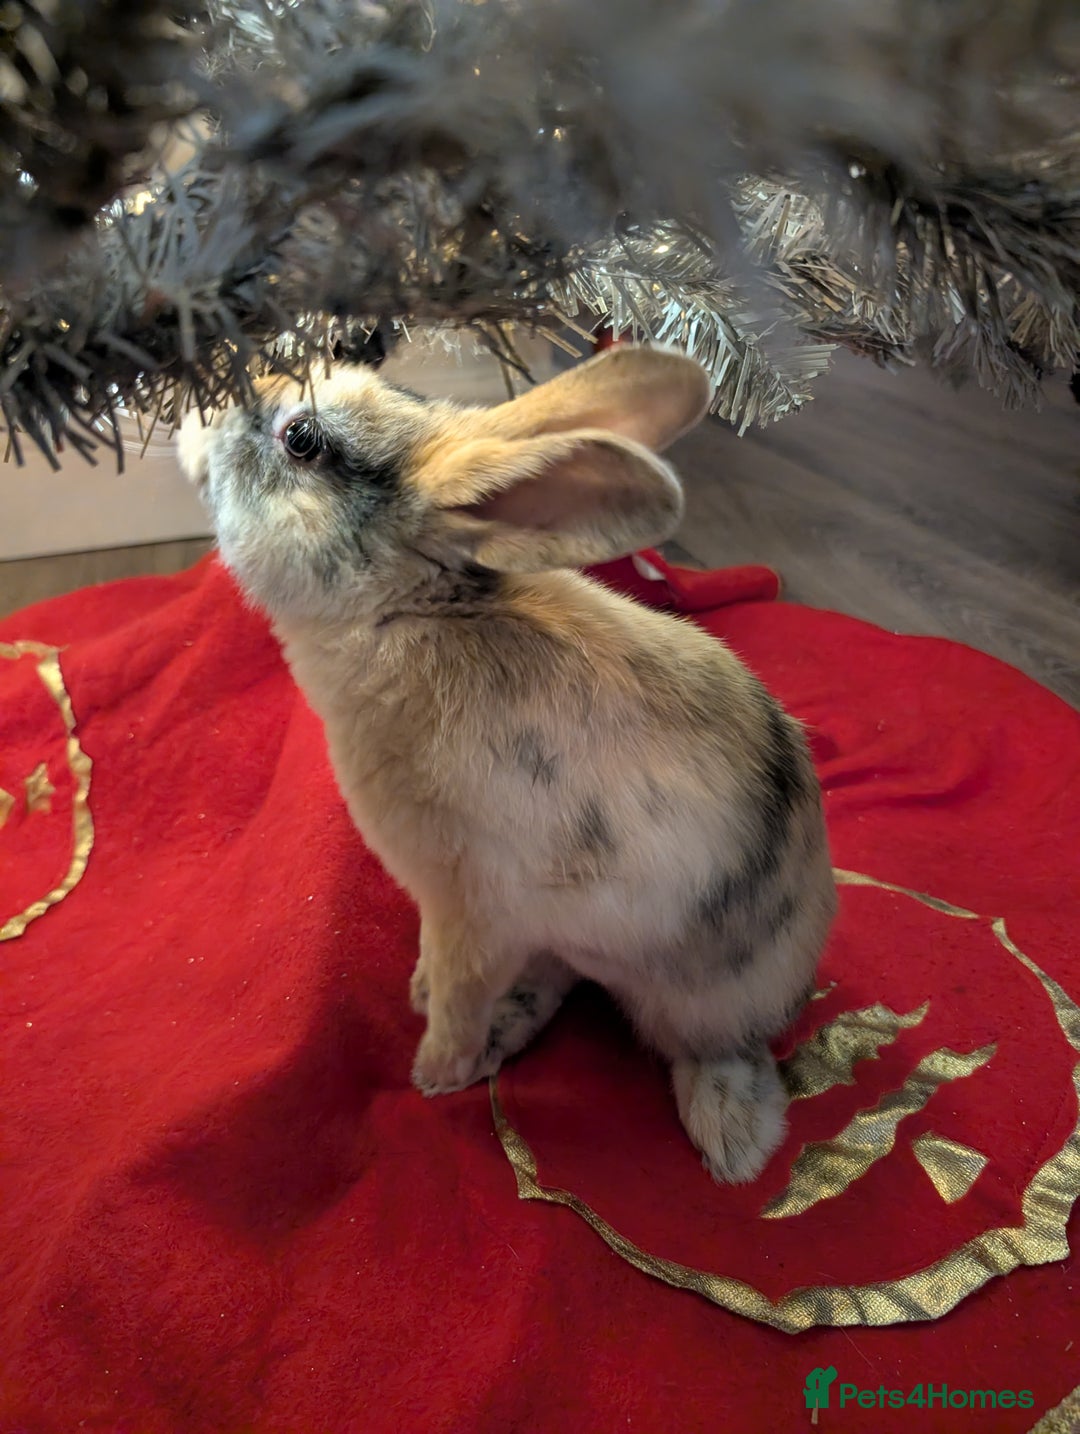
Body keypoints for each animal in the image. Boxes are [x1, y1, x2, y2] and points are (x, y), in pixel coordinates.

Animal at [178, 344, 836, 1184]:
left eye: (302, 439)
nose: (197, 416)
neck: (409, 612)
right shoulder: (449, 909)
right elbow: (442, 967)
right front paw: (421, 994)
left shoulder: (474, 908)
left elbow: (461, 993)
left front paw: (435, 1071)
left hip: (704, 992)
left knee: (714, 1046)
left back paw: (733, 1140)